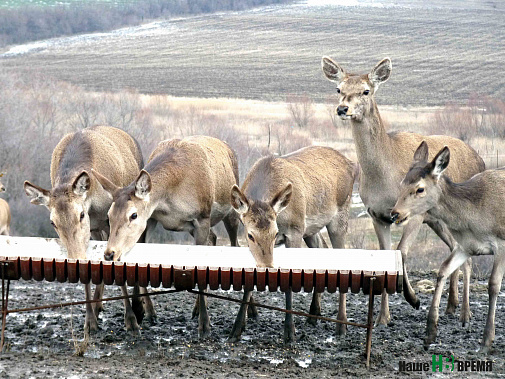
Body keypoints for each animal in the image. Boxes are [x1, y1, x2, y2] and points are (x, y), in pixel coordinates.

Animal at [23, 127, 154, 336]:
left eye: (81, 214)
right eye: (53, 222)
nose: (74, 258)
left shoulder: (110, 223)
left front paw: (131, 320)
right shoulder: (93, 231)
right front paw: (89, 322)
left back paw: (145, 309)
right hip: (97, 232)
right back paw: (98, 305)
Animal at [92, 135, 242, 340]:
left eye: (133, 215)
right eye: (109, 215)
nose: (109, 253)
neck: (171, 196)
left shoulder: (202, 217)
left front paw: (205, 326)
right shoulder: (153, 219)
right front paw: (140, 312)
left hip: (232, 212)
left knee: (236, 245)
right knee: (213, 238)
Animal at [228, 145, 354, 344]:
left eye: (275, 234)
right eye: (250, 235)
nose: (267, 266)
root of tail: (352, 164)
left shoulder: (294, 232)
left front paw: (290, 331)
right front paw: (236, 329)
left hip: (340, 215)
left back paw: (341, 325)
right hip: (310, 230)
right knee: (322, 248)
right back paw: (313, 314)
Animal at [320, 56, 482, 326]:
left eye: (366, 90)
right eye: (338, 89)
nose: (342, 109)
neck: (384, 177)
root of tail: (480, 159)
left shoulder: (414, 213)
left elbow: (402, 251)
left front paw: (413, 298)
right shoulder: (376, 214)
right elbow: (387, 255)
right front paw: (382, 317)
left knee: (465, 254)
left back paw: (465, 312)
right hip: (438, 221)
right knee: (454, 248)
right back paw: (451, 306)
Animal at [392, 142, 502, 354]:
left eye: (419, 189)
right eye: (401, 184)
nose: (395, 214)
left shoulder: (501, 244)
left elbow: (493, 285)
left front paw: (487, 339)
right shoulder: (465, 246)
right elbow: (443, 269)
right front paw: (429, 333)